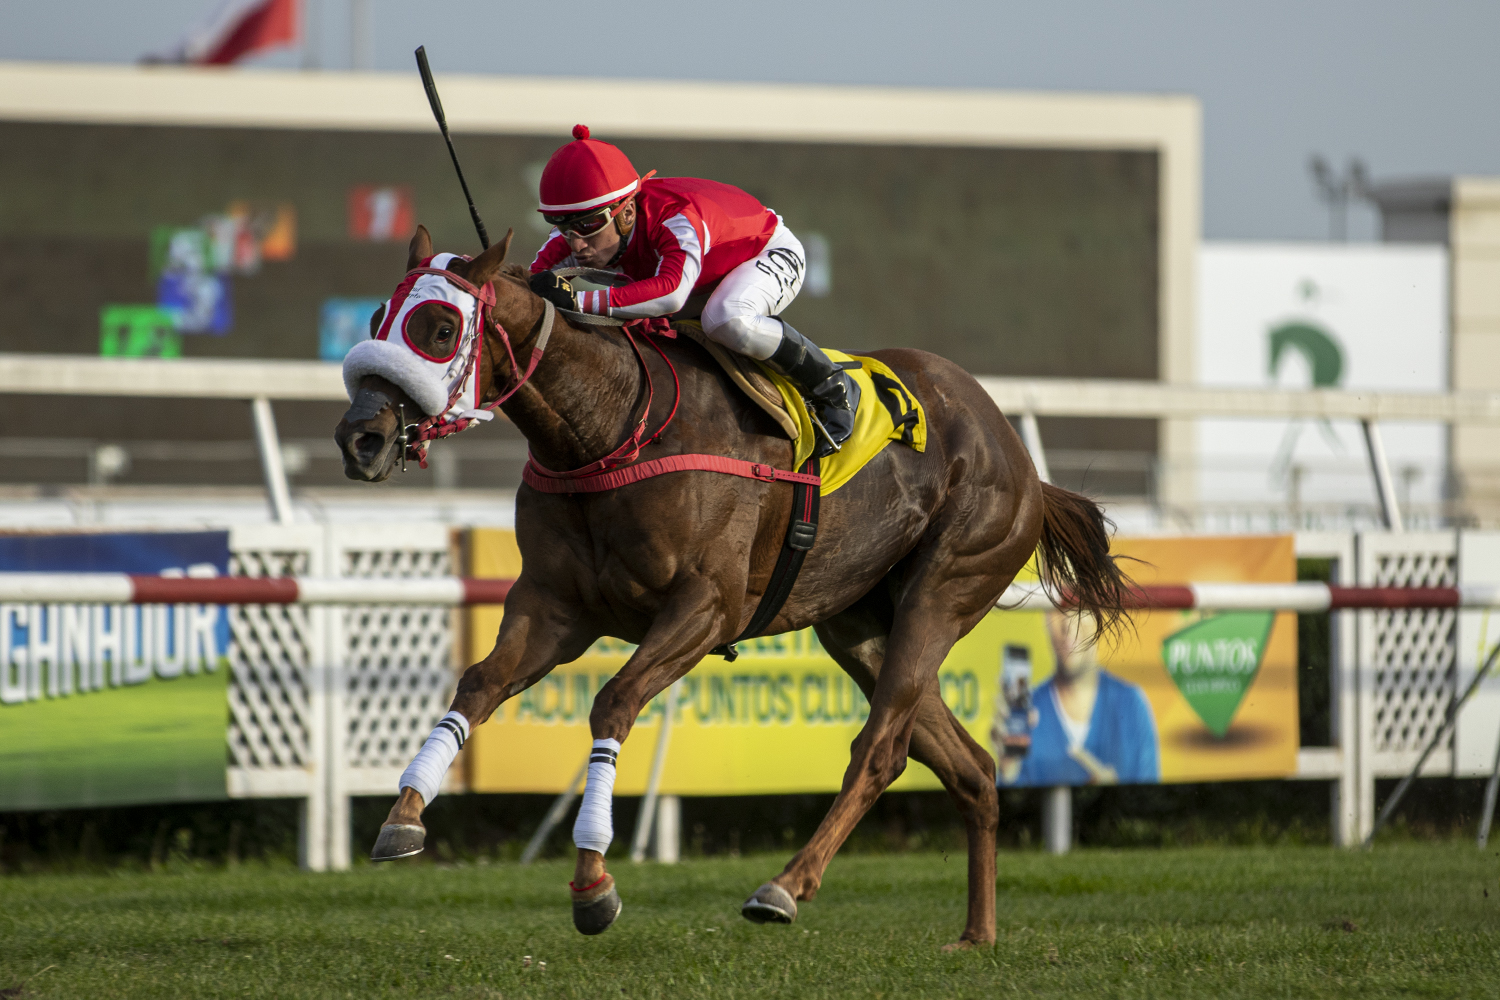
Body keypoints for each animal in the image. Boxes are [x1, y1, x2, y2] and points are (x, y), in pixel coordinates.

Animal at [334, 224, 1129, 949]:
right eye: (375, 322)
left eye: (440, 329)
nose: (358, 439)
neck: (614, 426)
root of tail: (1020, 458)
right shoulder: (554, 607)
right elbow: (477, 686)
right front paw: (403, 818)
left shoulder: (705, 607)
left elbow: (614, 701)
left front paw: (594, 881)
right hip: (860, 628)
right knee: (971, 767)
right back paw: (976, 933)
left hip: (943, 590)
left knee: (880, 750)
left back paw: (784, 887)